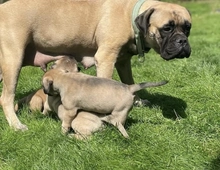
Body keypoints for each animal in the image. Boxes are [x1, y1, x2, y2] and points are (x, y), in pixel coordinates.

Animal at [0, 0, 191, 130]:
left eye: (188, 27)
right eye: (167, 28)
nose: (182, 41)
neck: (130, 14)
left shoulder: (123, 62)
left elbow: (129, 82)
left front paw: (137, 100)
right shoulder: (106, 58)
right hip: (13, 60)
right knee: (6, 98)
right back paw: (16, 125)